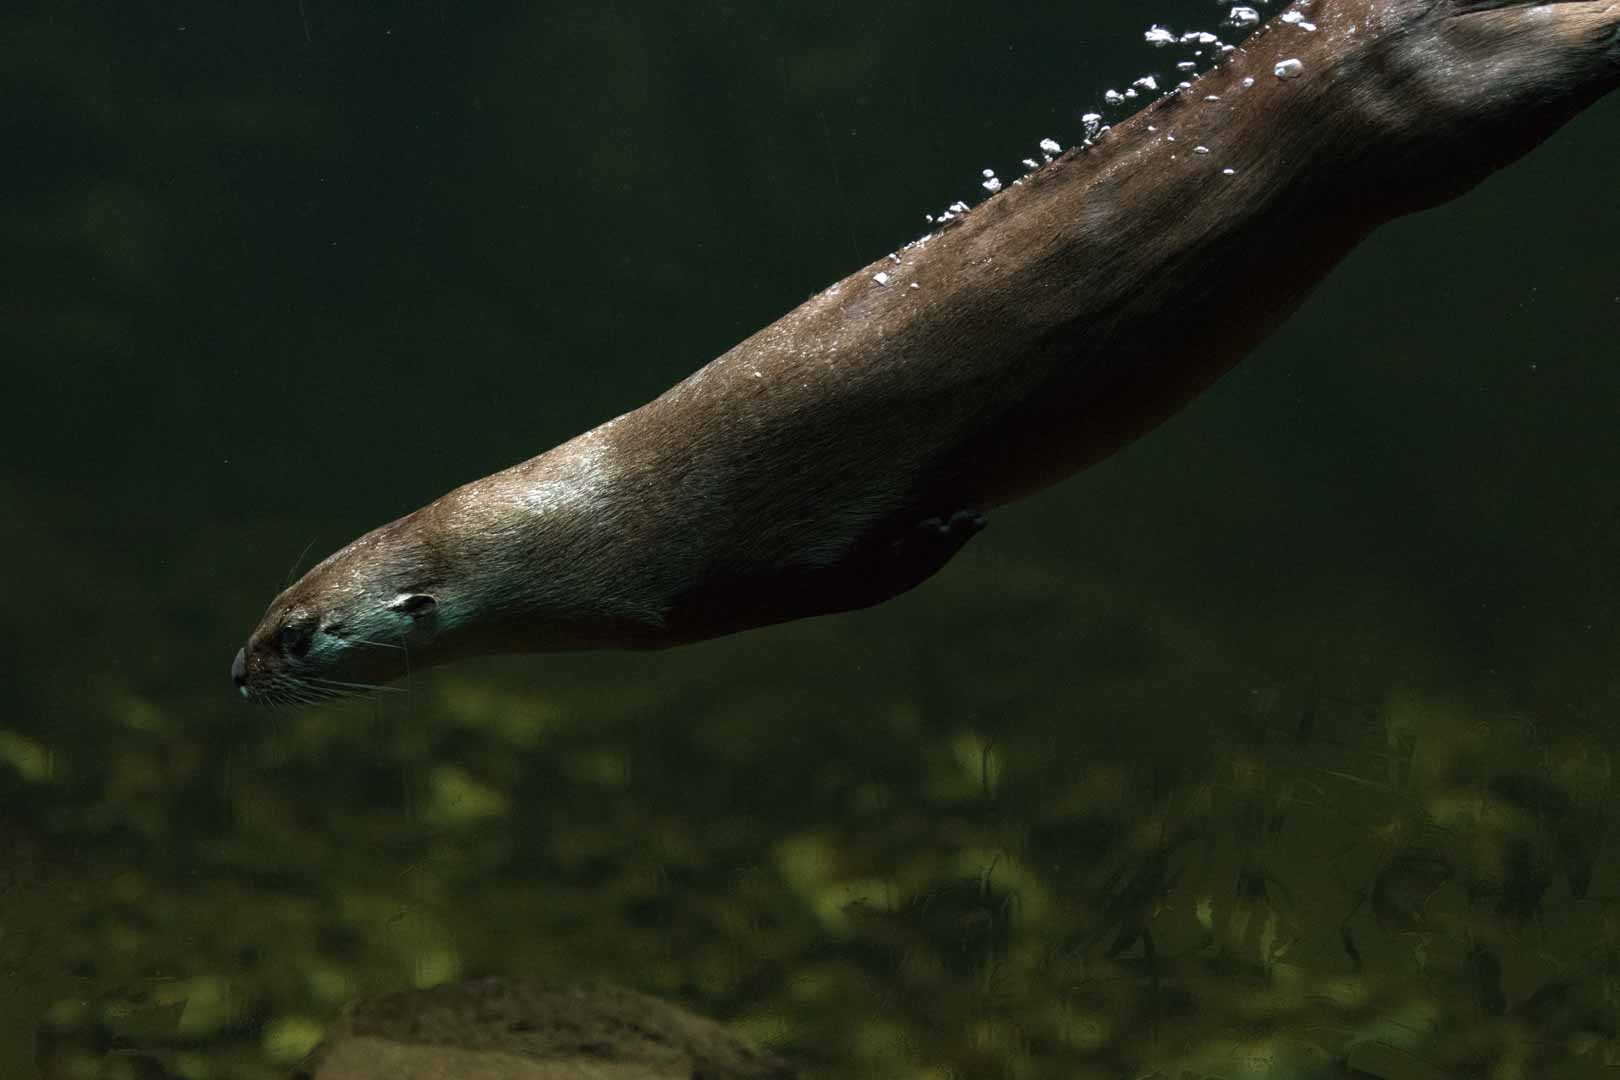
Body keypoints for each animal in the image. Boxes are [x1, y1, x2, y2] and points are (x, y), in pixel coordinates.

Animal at [234, 0, 1619, 704]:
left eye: (301, 633)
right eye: (269, 608)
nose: (239, 671)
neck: (595, 512)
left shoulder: (727, 571)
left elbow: (860, 564)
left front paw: (948, 530)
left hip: (1425, 123)